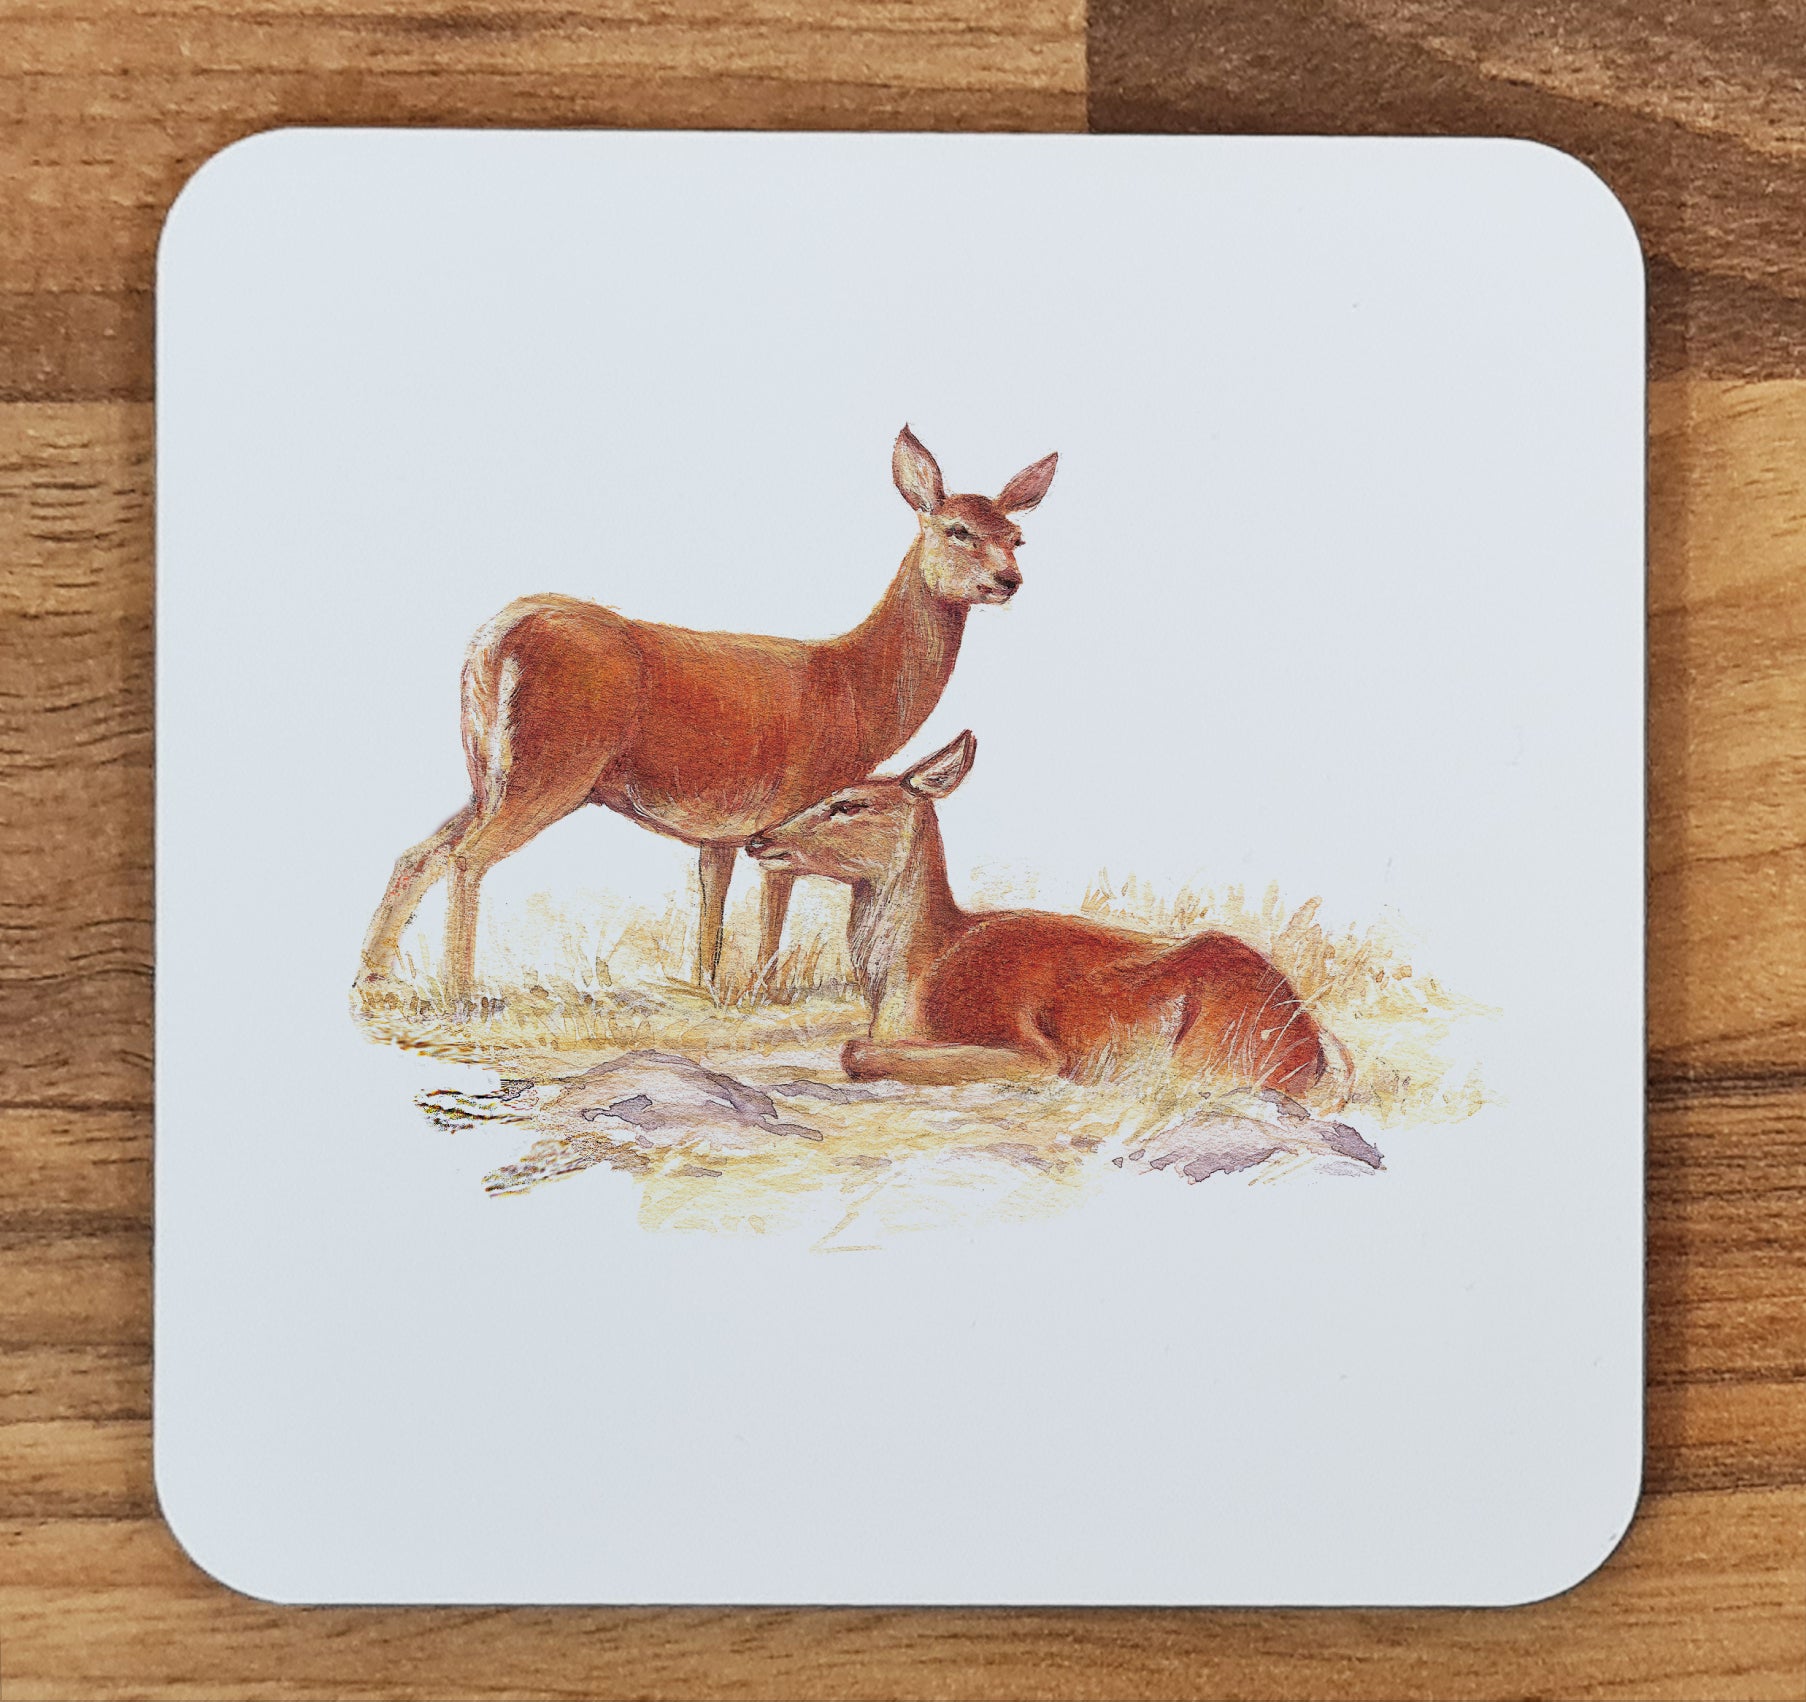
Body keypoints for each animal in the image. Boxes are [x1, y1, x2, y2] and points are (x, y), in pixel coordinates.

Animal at [358, 428, 1058, 1006]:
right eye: (956, 529)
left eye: (1017, 537)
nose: (1009, 580)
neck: (855, 688)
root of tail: (490, 640)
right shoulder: (793, 800)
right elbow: (774, 903)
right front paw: (761, 992)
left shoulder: (723, 828)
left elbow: (711, 909)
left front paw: (707, 988)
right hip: (552, 764)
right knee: (467, 857)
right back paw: (460, 992)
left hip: (490, 768)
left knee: (419, 851)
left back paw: (373, 980)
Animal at [744, 732, 1339, 1096]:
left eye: (848, 804)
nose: (759, 840)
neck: (919, 970)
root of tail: (1307, 1045)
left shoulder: (1026, 1041)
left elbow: (855, 1050)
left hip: (1209, 1050)